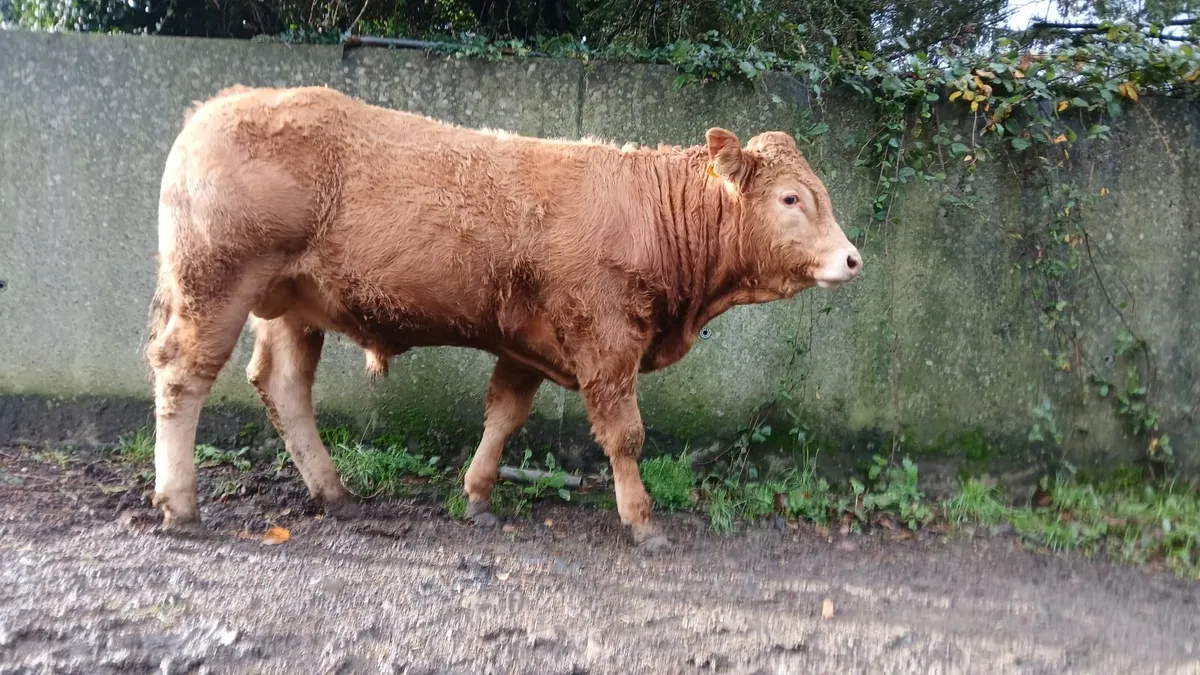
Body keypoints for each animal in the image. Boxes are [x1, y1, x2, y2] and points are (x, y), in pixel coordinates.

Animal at [144, 84, 862, 551]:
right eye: (791, 198)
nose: (853, 258)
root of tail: (220, 104)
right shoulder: (607, 340)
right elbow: (625, 436)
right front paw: (642, 521)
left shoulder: (527, 344)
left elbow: (504, 416)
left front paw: (478, 495)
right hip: (217, 279)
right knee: (184, 372)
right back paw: (180, 504)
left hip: (293, 302)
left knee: (284, 385)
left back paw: (334, 493)